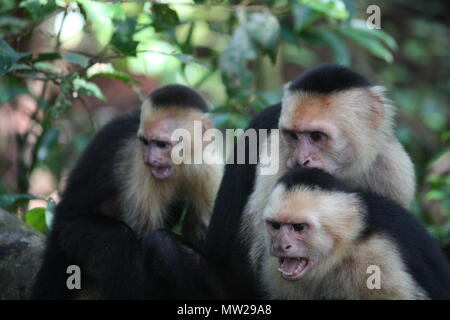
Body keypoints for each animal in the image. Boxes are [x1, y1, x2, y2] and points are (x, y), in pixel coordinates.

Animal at [30, 85, 222, 300]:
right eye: (145, 142)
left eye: (161, 144)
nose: (151, 160)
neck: (181, 163)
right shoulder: (139, 163)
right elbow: (142, 235)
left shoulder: (208, 164)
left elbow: (204, 233)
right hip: (68, 235)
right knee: (119, 240)